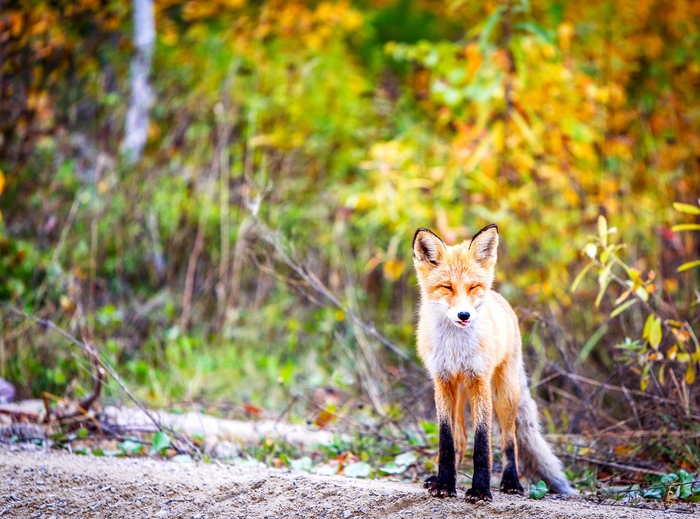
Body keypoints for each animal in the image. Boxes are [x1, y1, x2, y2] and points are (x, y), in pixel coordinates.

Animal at [410, 225, 576, 502]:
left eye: (473, 287)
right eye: (447, 287)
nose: (464, 315)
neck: (457, 348)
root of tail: (499, 298)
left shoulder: (480, 381)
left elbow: (483, 443)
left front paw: (480, 489)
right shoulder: (442, 381)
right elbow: (447, 440)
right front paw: (444, 484)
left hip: (504, 393)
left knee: (510, 440)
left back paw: (511, 482)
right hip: (460, 391)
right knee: (461, 439)